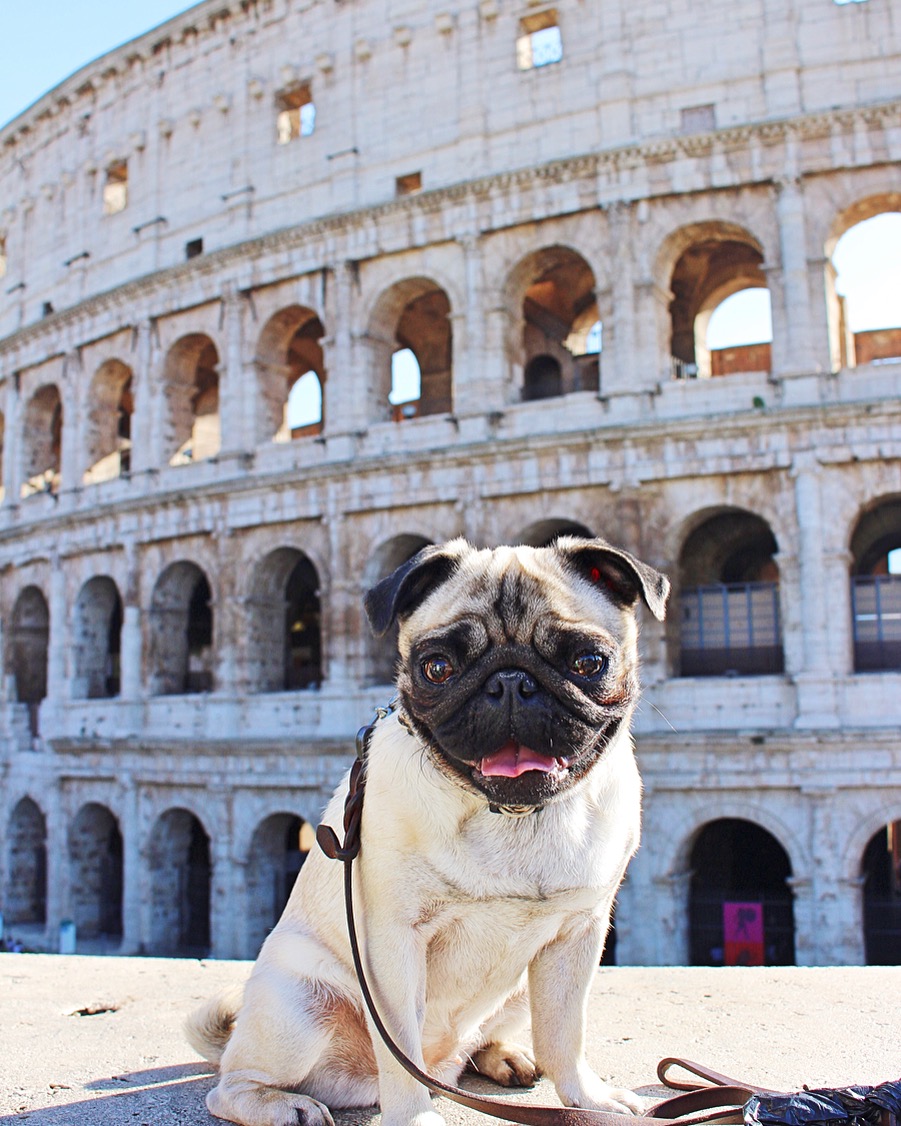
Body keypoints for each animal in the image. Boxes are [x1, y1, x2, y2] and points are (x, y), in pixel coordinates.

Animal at [186, 533, 666, 1126]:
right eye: (437, 667)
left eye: (588, 662)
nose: (511, 681)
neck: (512, 816)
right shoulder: (392, 944)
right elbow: (401, 1053)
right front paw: (412, 1116)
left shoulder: (578, 935)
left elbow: (565, 1034)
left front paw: (588, 1099)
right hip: (298, 1004)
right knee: (232, 1084)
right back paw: (281, 1104)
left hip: (517, 991)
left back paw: (501, 1056)